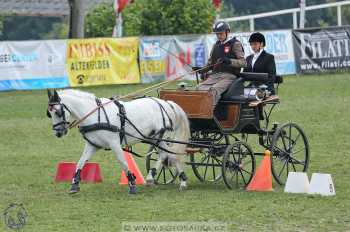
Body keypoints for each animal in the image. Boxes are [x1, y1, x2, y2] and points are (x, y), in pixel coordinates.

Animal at [46, 89, 190, 194]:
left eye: (58, 112)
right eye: (49, 113)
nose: (58, 133)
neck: (96, 115)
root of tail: (166, 103)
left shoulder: (114, 144)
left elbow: (123, 162)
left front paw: (132, 184)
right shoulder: (92, 145)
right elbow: (81, 162)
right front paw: (74, 185)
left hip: (161, 136)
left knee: (170, 154)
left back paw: (181, 181)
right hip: (155, 138)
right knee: (166, 154)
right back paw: (153, 177)